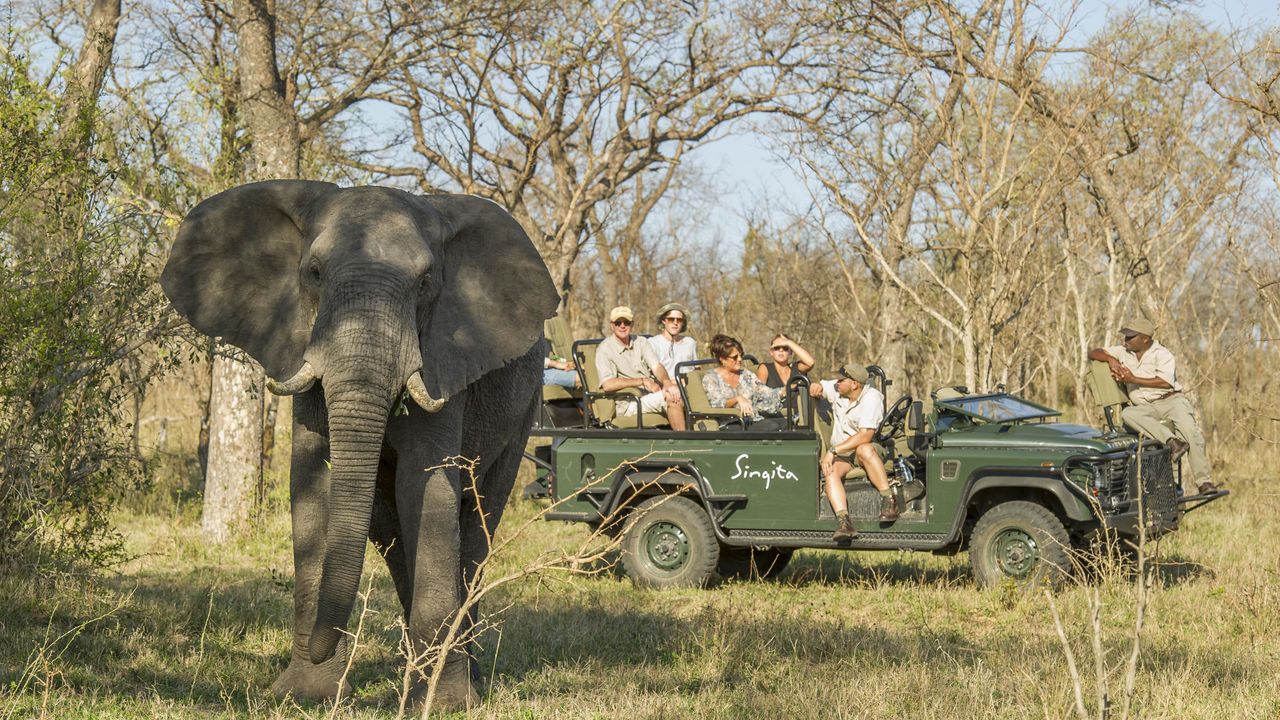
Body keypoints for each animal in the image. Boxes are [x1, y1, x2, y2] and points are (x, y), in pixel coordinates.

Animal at [158, 178, 555, 707]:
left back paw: (464, 675)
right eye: (314, 273)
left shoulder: (445, 360)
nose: (320, 649)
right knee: (390, 529)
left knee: (477, 521)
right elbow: (315, 480)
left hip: (525, 407)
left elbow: (425, 484)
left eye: (426, 282)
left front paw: (446, 705)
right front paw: (305, 696)